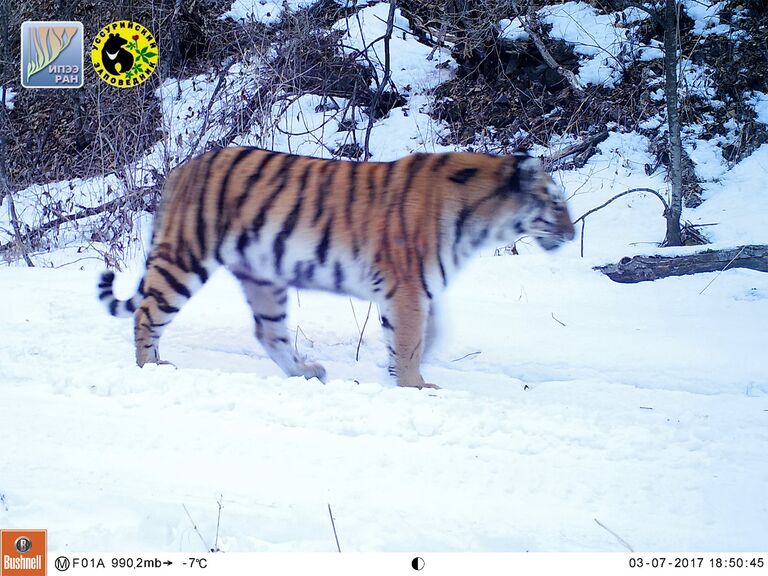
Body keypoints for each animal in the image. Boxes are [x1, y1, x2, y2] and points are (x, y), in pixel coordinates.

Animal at [97, 148, 576, 390]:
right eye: (556, 202)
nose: (572, 234)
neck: (482, 220)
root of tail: (182, 169)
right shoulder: (408, 288)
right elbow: (411, 340)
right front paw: (415, 386)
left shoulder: (416, 290)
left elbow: (428, 334)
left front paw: (400, 374)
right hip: (186, 257)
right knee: (147, 314)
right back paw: (152, 368)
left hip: (263, 274)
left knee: (268, 331)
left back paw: (306, 374)